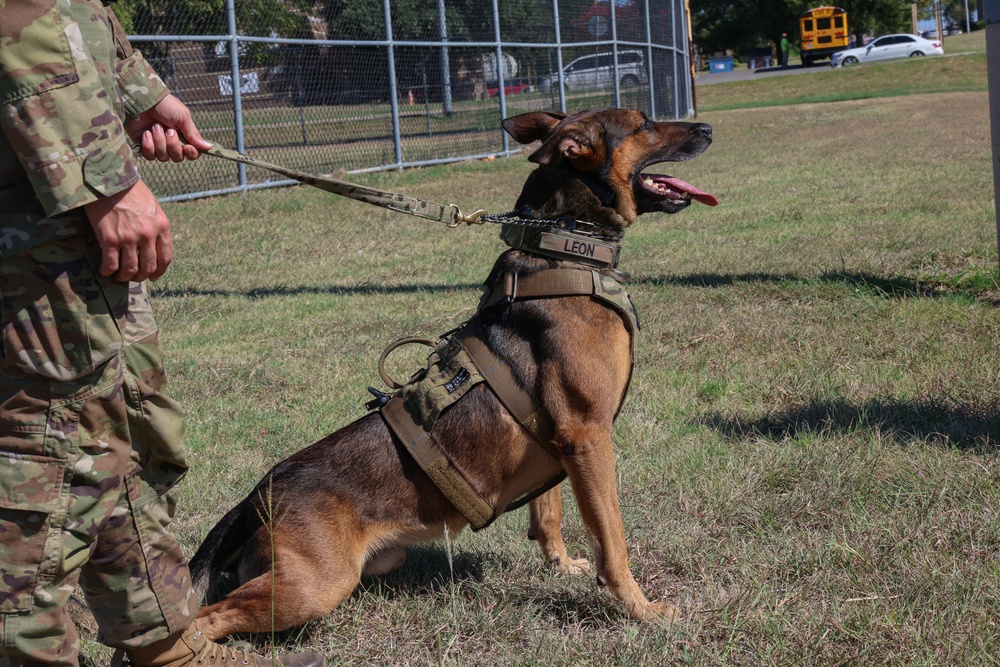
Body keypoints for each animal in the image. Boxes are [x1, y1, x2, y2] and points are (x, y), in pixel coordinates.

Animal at [188, 107, 716, 640]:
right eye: (643, 124)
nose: (707, 128)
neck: (564, 250)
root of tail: (254, 498)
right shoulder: (587, 435)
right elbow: (613, 541)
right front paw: (641, 610)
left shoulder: (559, 440)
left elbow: (549, 514)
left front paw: (561, 566)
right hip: (315, 586)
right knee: (205, 618)